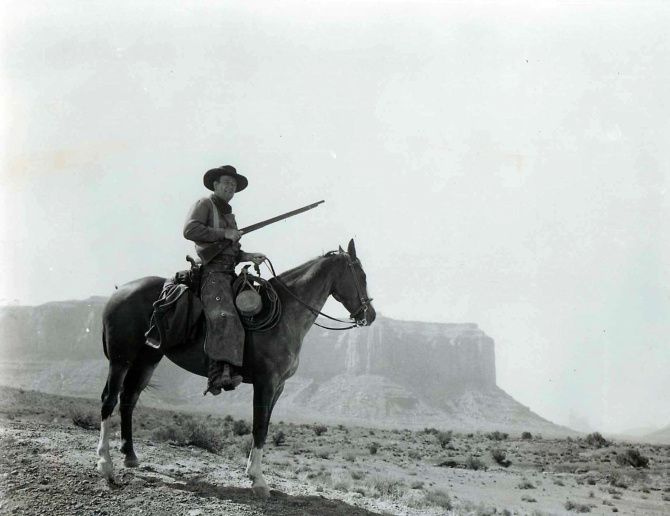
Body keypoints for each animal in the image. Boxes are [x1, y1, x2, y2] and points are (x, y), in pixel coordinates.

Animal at [96, 239, 378, 496]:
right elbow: (259, 427)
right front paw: (259, 481)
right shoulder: (266, 382)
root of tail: (118, 292)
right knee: (109, 399)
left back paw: (130, 456)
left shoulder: (279, 386)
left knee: (129, 399)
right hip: (121, 359)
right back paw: (105, 465)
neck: (286, 314)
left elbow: (263, 427)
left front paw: (252, 473)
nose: (370, 315)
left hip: (148, 359)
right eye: (361, 274)